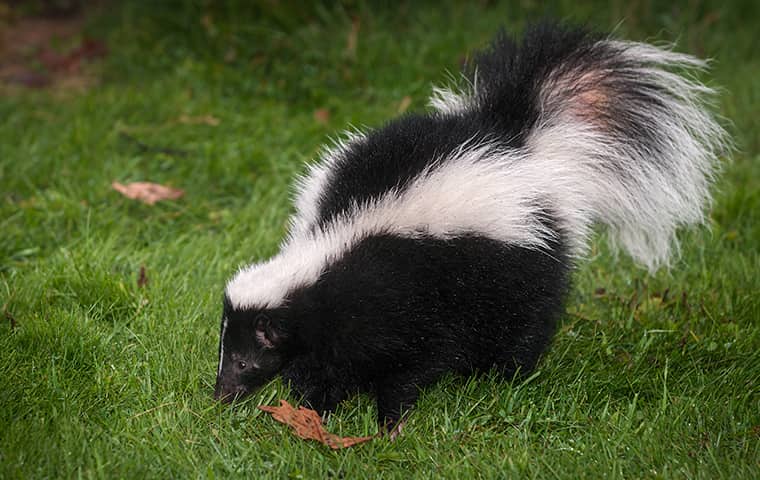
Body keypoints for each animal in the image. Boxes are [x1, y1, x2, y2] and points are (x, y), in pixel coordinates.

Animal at [212, 22, 724, 432]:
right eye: (225, 353)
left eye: (242, 360)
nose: (219, 395)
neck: (330, 253)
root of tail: (515, 141)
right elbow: (324, 363)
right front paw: (316, 408)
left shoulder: (406, 300)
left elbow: (412, 365)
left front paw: (391, 421)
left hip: (520, 264)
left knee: (525, 325)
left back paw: (504, 378)